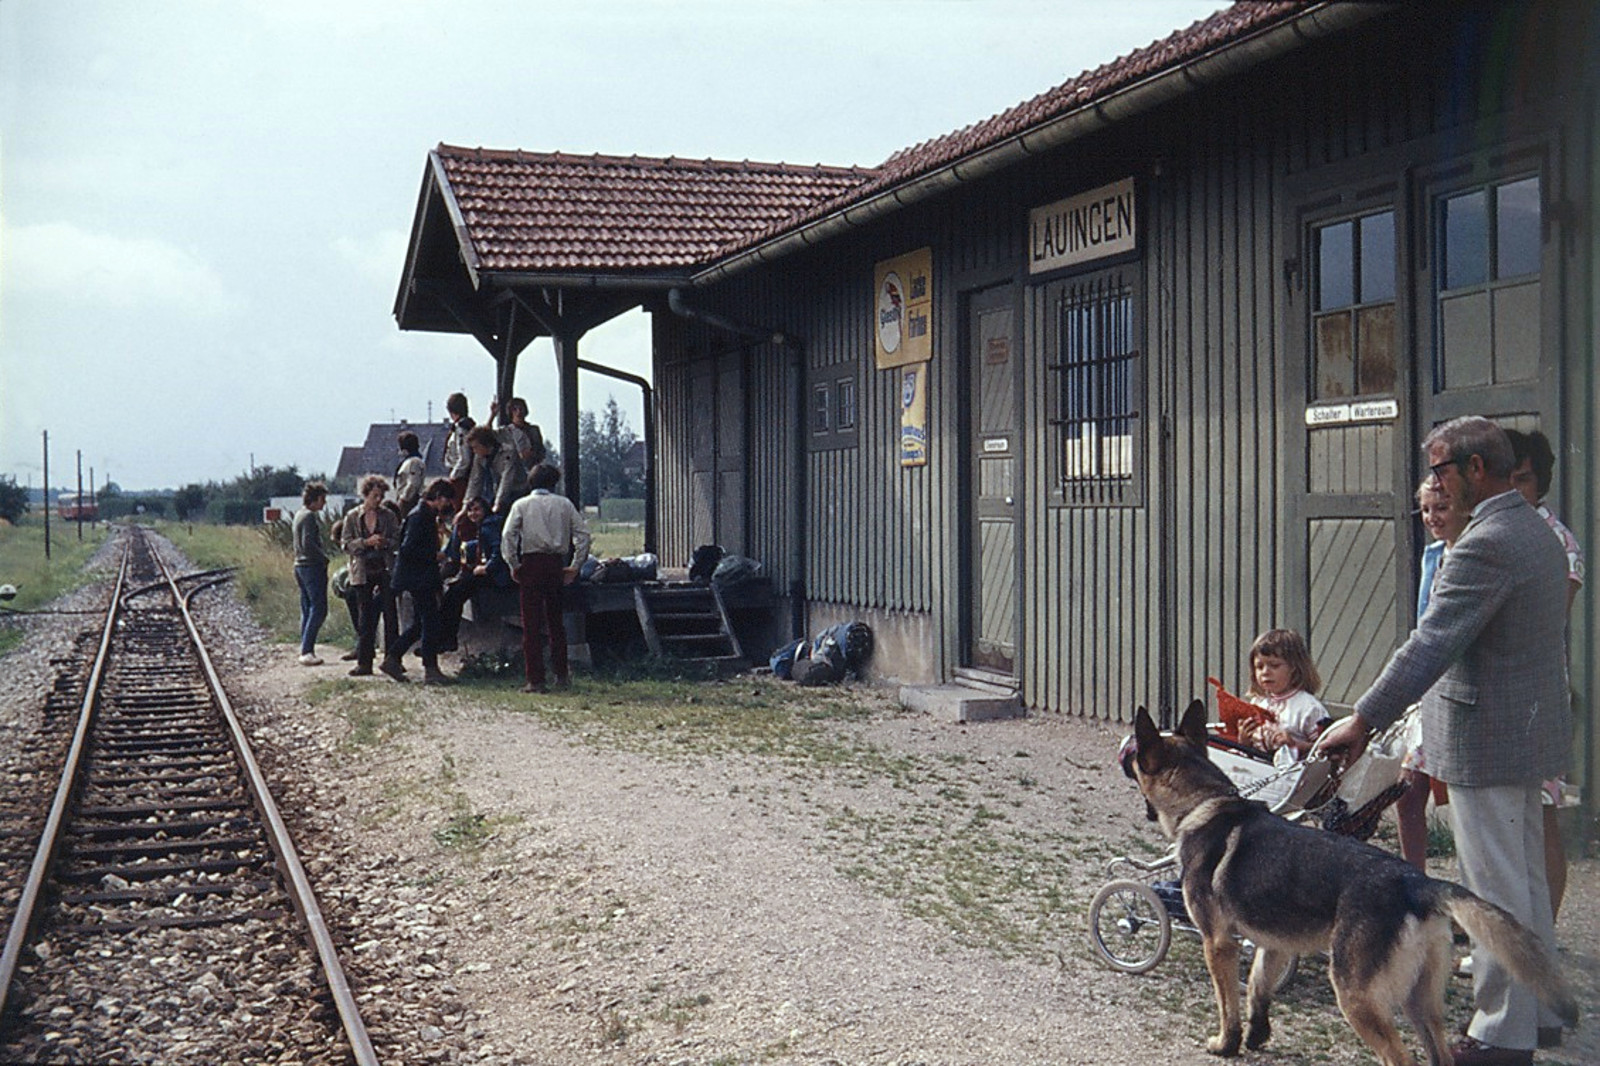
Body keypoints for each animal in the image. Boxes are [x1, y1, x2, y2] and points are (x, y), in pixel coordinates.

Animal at [1126, 697, 1574, 1062]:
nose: (1127, 753)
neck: (1204, 800)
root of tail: (1417, 883)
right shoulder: (1274, 944)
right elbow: (1257, 988)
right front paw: (1257, 1036)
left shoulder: (1217, 943)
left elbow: (1228, 1004)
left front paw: (1227, 1044)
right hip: (1419, 1003)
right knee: (1437, 1054)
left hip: (1356, 997)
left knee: (1399, 1058)